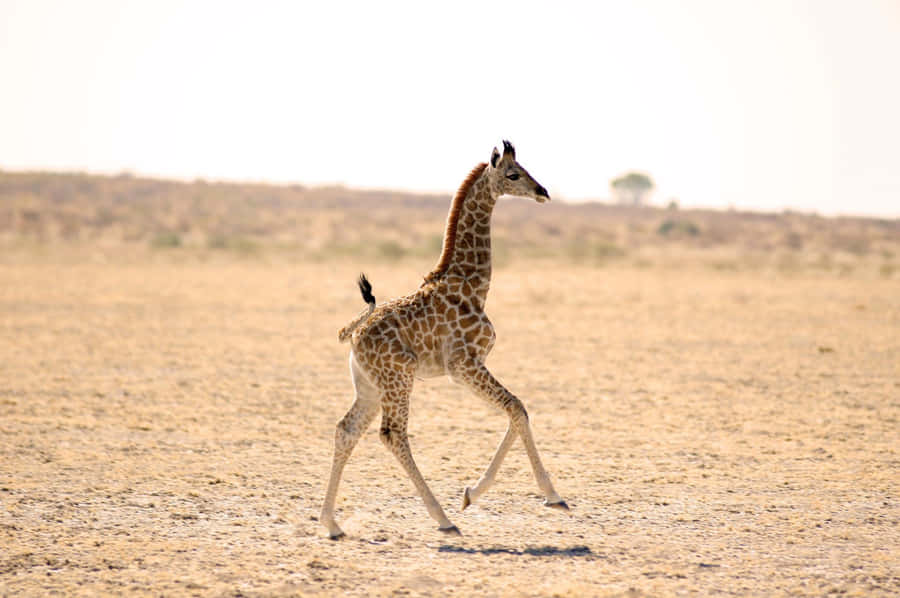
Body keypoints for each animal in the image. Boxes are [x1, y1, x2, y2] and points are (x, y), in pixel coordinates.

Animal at [320, 141, 568, 539]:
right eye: (514, 174)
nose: (542, 191)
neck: (472, 285)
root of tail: (353, 335)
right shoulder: (463, 364)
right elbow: (516, 407)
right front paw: (551, 495)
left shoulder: (467, 368)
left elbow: (516, 410)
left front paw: (472, 493)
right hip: (399, 377)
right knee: (393, 434)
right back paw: (443, 518)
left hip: (370, 385)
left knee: (347, 430)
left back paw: (331, 523)